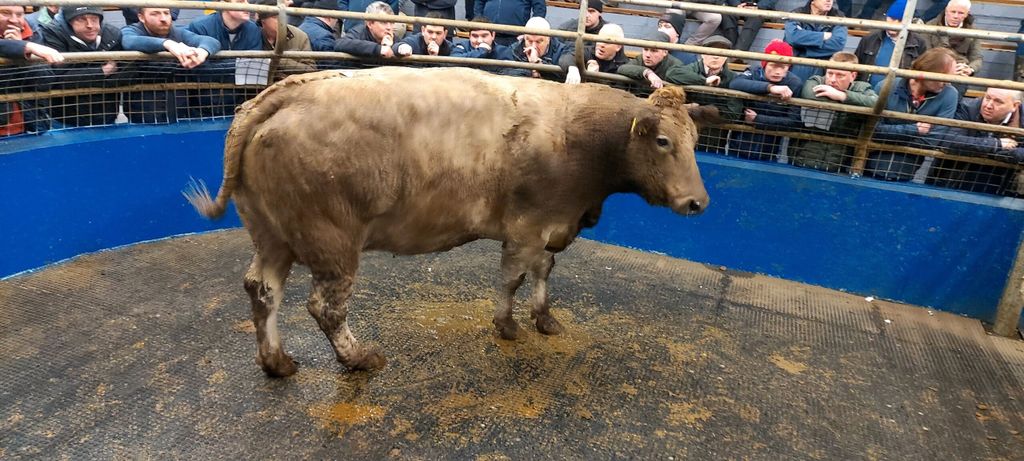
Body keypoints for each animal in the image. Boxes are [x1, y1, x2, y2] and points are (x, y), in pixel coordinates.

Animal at [185, 66, 712, 377]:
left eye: (694, 140)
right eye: (663, 142)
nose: (697, 202)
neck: (576, 133)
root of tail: (282, 93)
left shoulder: (554, 227)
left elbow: (542, 274)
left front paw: (544, 318)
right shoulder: (527, 225)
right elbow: (513, 277)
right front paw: (507, 325)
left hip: (272, 233)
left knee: (262, 291)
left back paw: (276, 361)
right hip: (331, 240)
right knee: (326, 307)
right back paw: (360, 358)